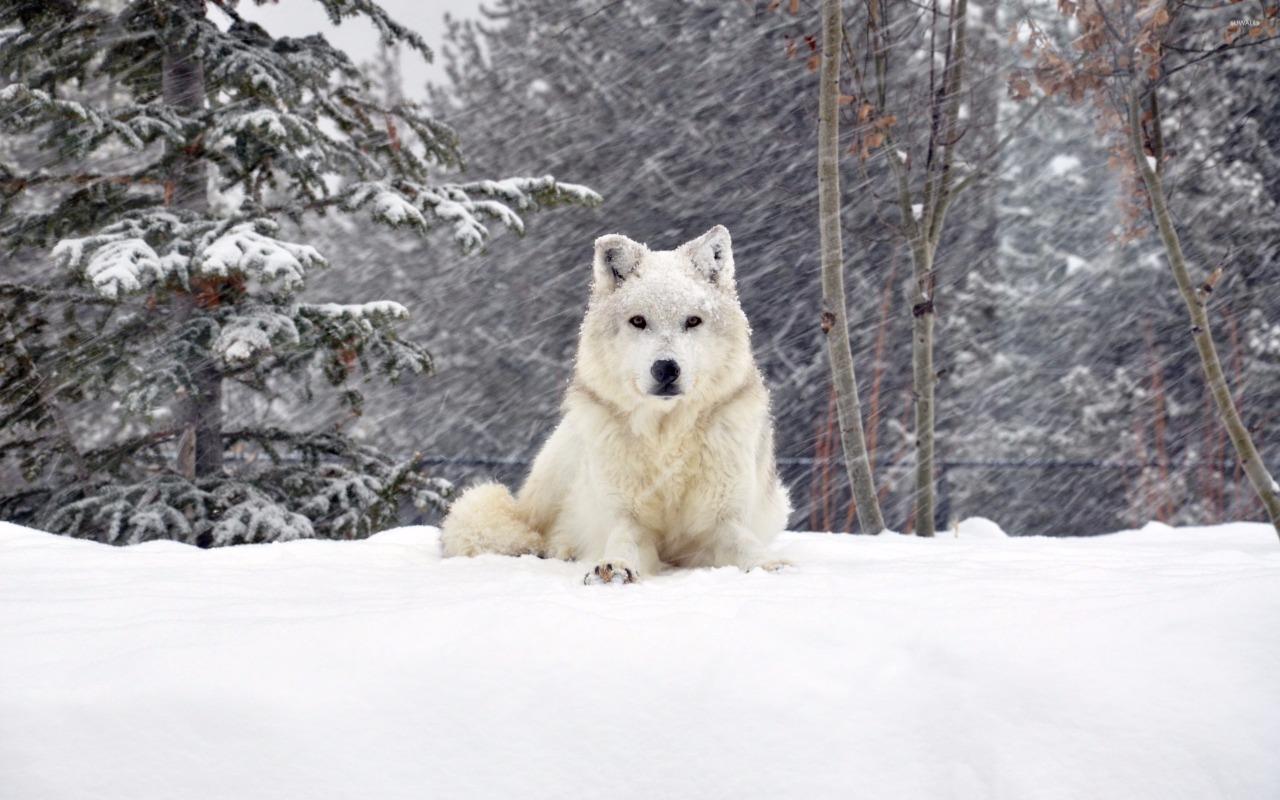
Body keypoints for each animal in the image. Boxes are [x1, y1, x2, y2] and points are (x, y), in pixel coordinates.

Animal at [440, 225, 791, 584]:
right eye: (638, 321)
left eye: (693, 321)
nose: (666, 368)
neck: (667, 438)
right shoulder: (627, 517)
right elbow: (623, 541)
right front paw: (615, 567)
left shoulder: (722, 519)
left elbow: (745, 543)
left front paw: (769, 565)